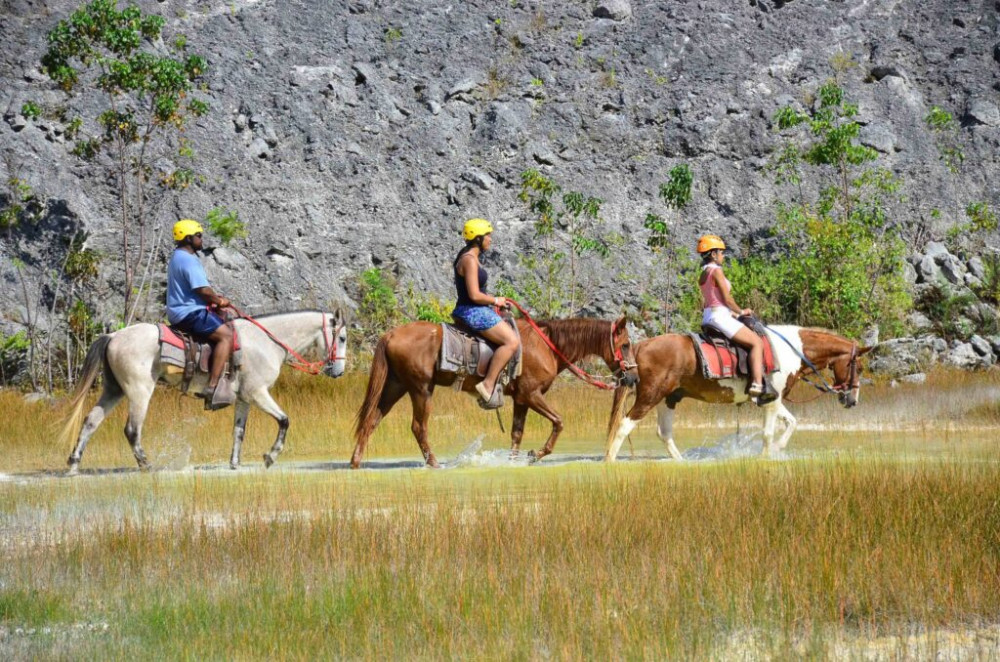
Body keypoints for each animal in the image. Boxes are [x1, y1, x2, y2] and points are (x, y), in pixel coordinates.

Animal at [60, 308, 348, 474]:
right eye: (342, 338)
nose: (338, 372)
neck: (266, 342)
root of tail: (113, 336)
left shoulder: (244, 399)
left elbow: (239, 431)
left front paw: (234, 463)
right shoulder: (258, 393)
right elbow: (284, 420)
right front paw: (270, 456)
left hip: (114, 390)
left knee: (91, 421)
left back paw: (74, 464)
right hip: (139, 391)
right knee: (132, 430)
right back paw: (146, 465)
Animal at [348, 316, 636, 466]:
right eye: (626, 344)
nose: (632, 377)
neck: (547, 346)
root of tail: (391, 334)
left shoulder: (521, 399)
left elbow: (517, 433)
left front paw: (514, 459)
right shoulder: (532, 395)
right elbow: (559, 421)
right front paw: (536, 454)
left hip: (396, 386)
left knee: (372, 420)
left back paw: (355, 461)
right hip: (421, 389)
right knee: (419, 427)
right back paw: (434, 463)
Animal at [596, 326, 872, 462]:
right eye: (857, 367)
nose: (853, 400)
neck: (790, 350)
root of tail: (641, 345)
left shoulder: (773, 398)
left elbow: (792, 423)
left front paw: (777, 449)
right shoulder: (772, 400)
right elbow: (768, 432)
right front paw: (767, 455)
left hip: (669, 398)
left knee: (664, 433)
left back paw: (681, 460)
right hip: (650, 396)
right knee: (624, 424)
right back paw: (610, 460)